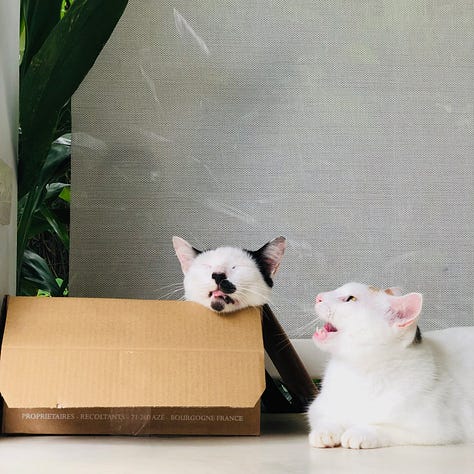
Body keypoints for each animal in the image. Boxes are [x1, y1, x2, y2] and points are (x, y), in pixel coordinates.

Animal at [308, 284, 474, 450]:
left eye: (351, 298)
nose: (318, 297)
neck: (360, 369)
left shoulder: (436, 429)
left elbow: (385, 428)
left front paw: (360, 432)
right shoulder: (317, 407)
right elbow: (326, 417)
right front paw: (326, 430)